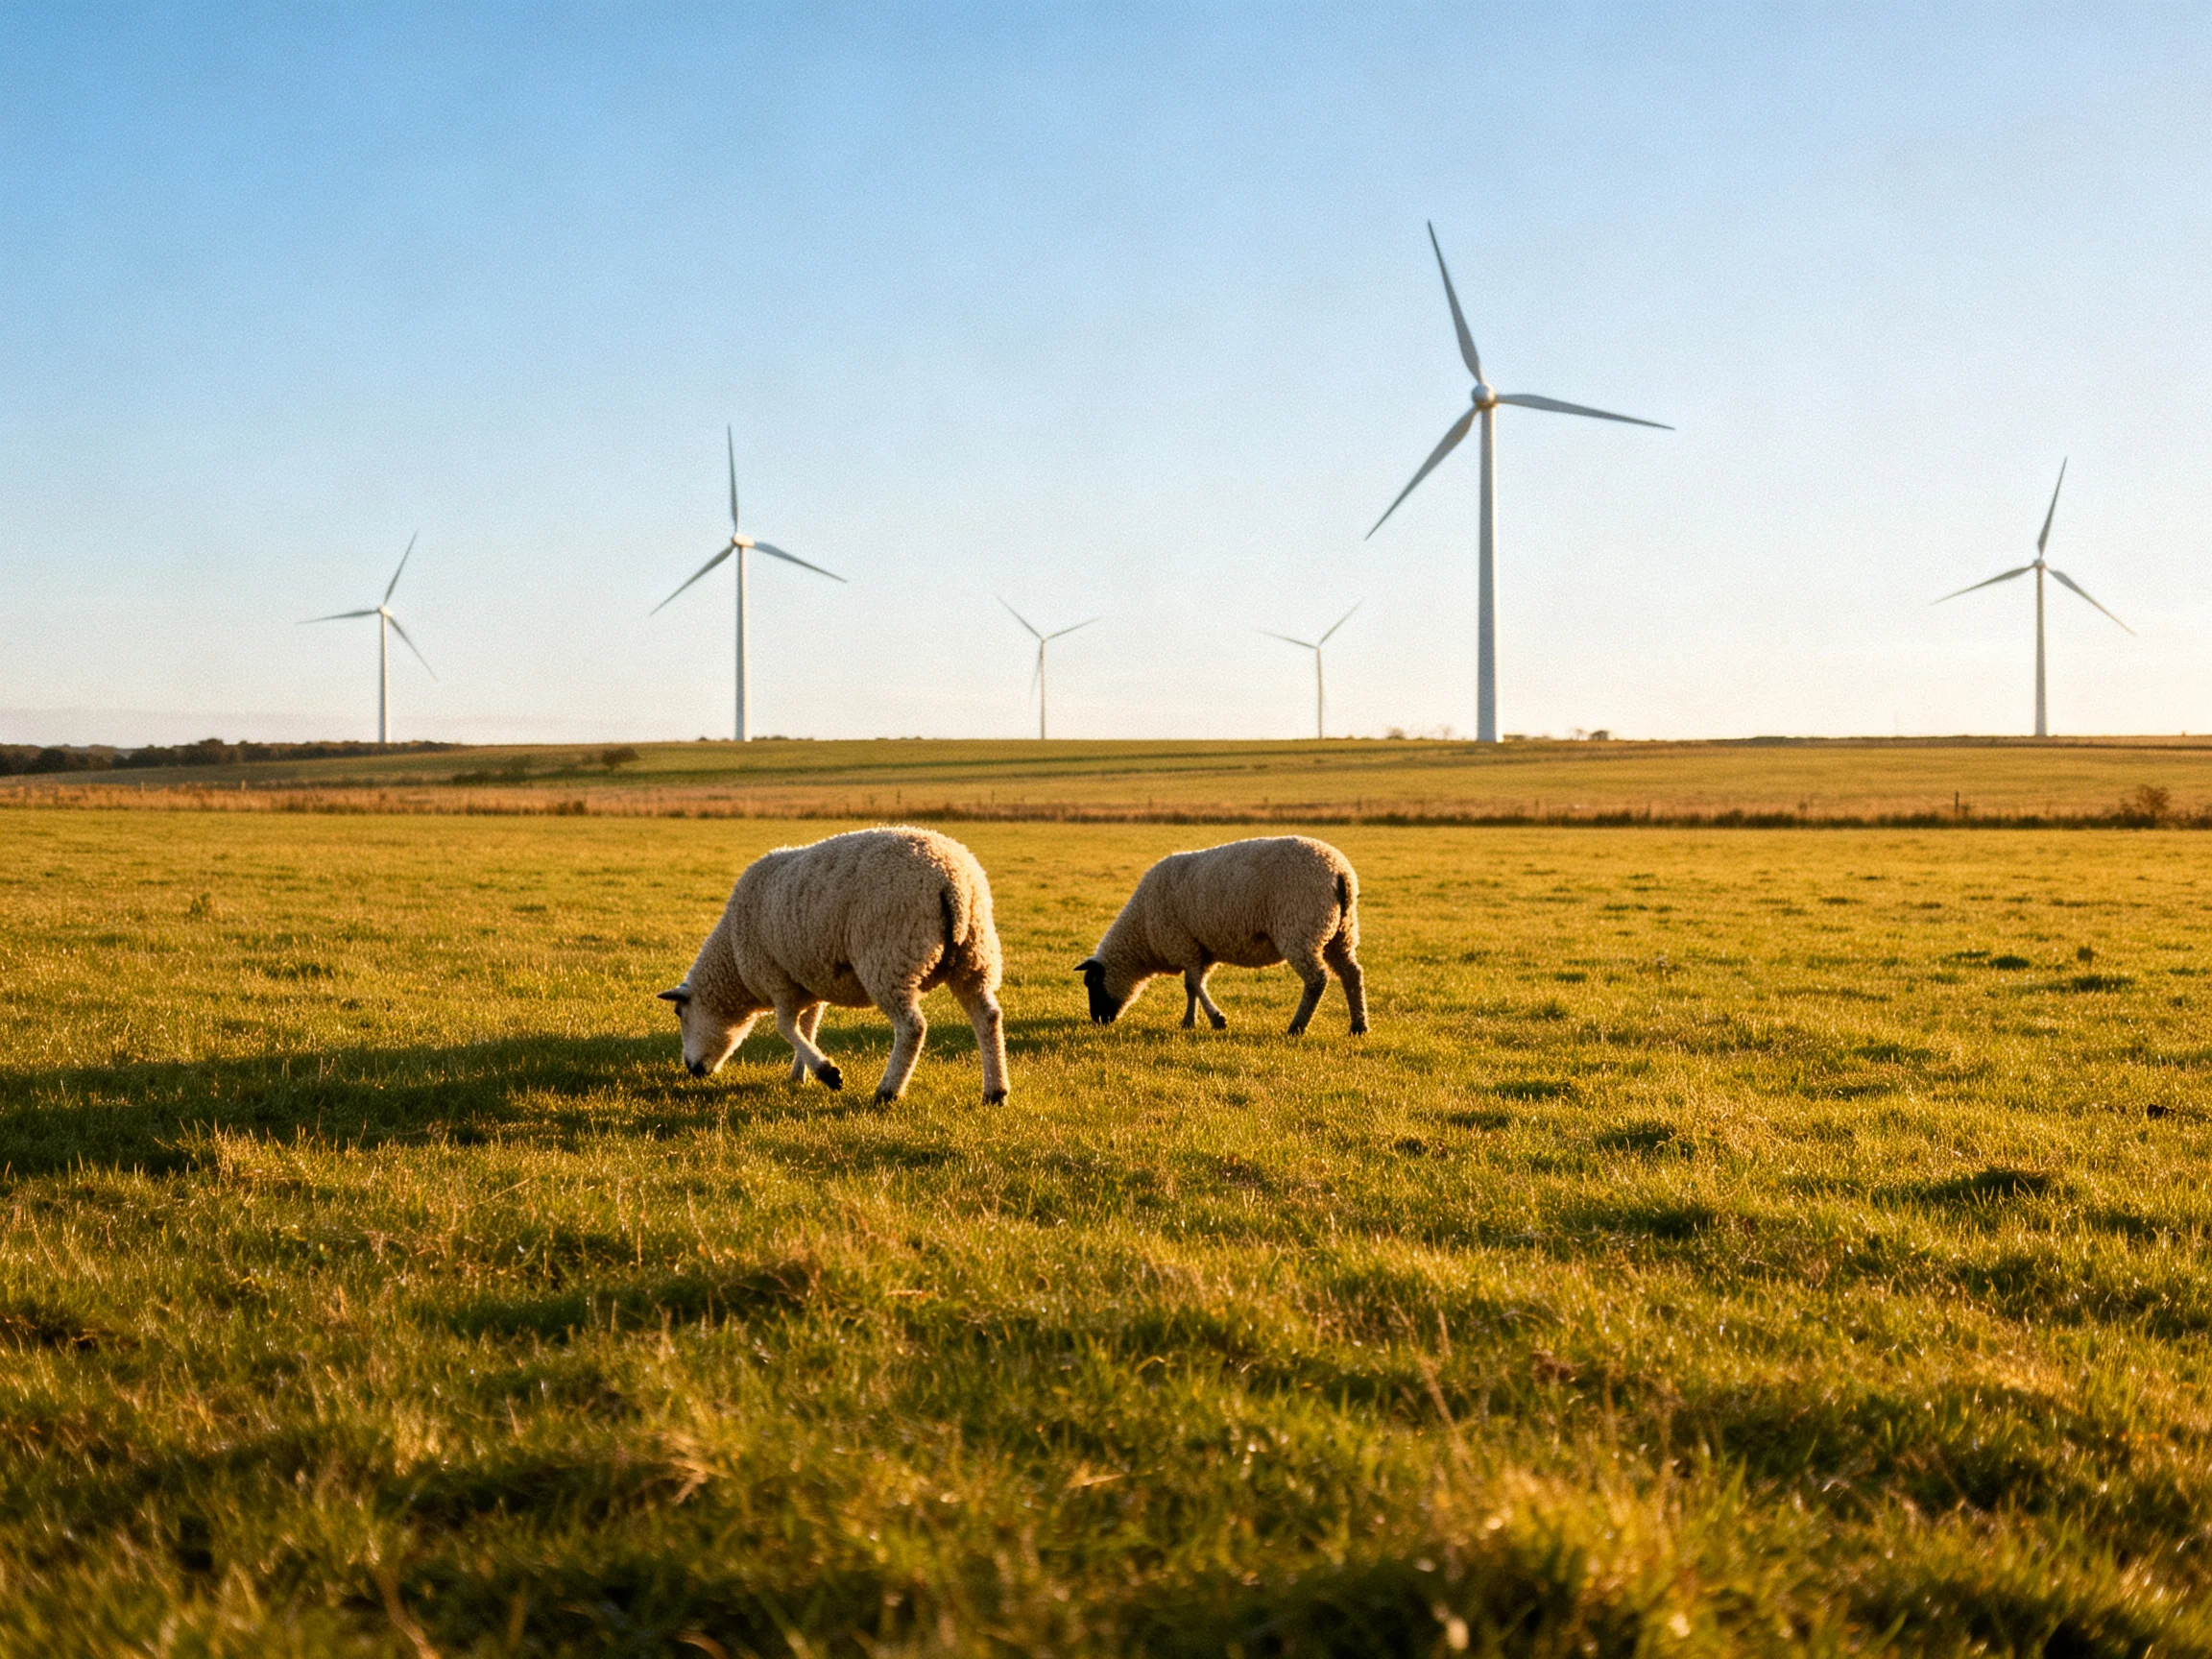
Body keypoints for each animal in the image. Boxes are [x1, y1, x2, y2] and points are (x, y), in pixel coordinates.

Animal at [658, 826, 1010, 1104]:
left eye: (679, 1012)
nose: (692, 1069)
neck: (732, 958)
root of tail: (953, 882)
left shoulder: (777, 978)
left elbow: (786, 1027)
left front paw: (827, 1073)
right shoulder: (808, 981)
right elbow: (807, 1027)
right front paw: (799, 1075)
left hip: (890, 958)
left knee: (912, 1027)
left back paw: (888, 1091)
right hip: (975, 956)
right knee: (988, 1017)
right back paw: (995, 1092)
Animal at [1078, 835, 1368, 1036]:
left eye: (1091, 983)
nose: (1097, 1020)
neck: (1143, 936)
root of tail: (1340, 873)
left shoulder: (1184, 944)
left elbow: (1194, 984)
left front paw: (1216, 1019)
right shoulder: (1199, 949)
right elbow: (1191, 986)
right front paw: (1189, 1021)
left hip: (1301, 929)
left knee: (1317, 980)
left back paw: (1297, 1027)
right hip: (1341, 932)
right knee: (1352, 974)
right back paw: (1358, 1026)